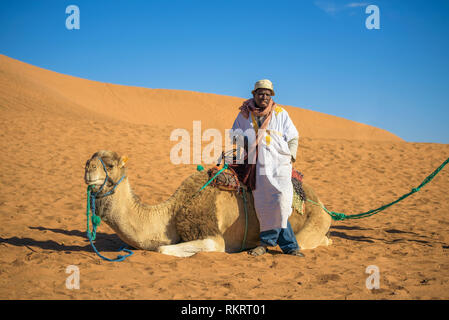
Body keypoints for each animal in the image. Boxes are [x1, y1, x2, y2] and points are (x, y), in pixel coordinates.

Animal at [83, 150, 332, 258]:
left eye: (110, 165)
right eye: (89, 160)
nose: (88, 169)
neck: (173, 212)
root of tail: (322, 204)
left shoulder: (214, 237)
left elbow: (162, 248)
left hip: (314, 223)